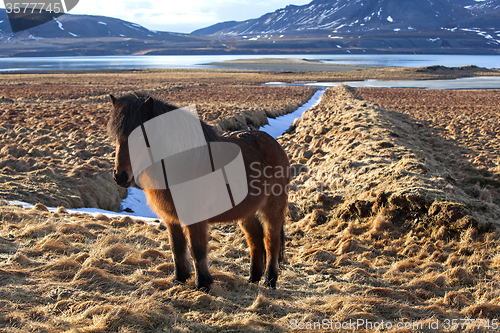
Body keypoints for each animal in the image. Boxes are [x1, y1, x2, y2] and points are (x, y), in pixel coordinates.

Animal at [107, 92, 292, 290]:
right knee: (255, 239)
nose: (120, 176)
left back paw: (270, 281)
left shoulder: (195, 219)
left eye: (141, 137)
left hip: (272, 208)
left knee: (271, 241)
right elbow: (177, 248)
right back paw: (253, 278)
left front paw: (202, 284)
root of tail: (272, 142)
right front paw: (179, 279)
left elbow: (198, 249)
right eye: (116, 137)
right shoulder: (171, 218)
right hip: (246, 211)